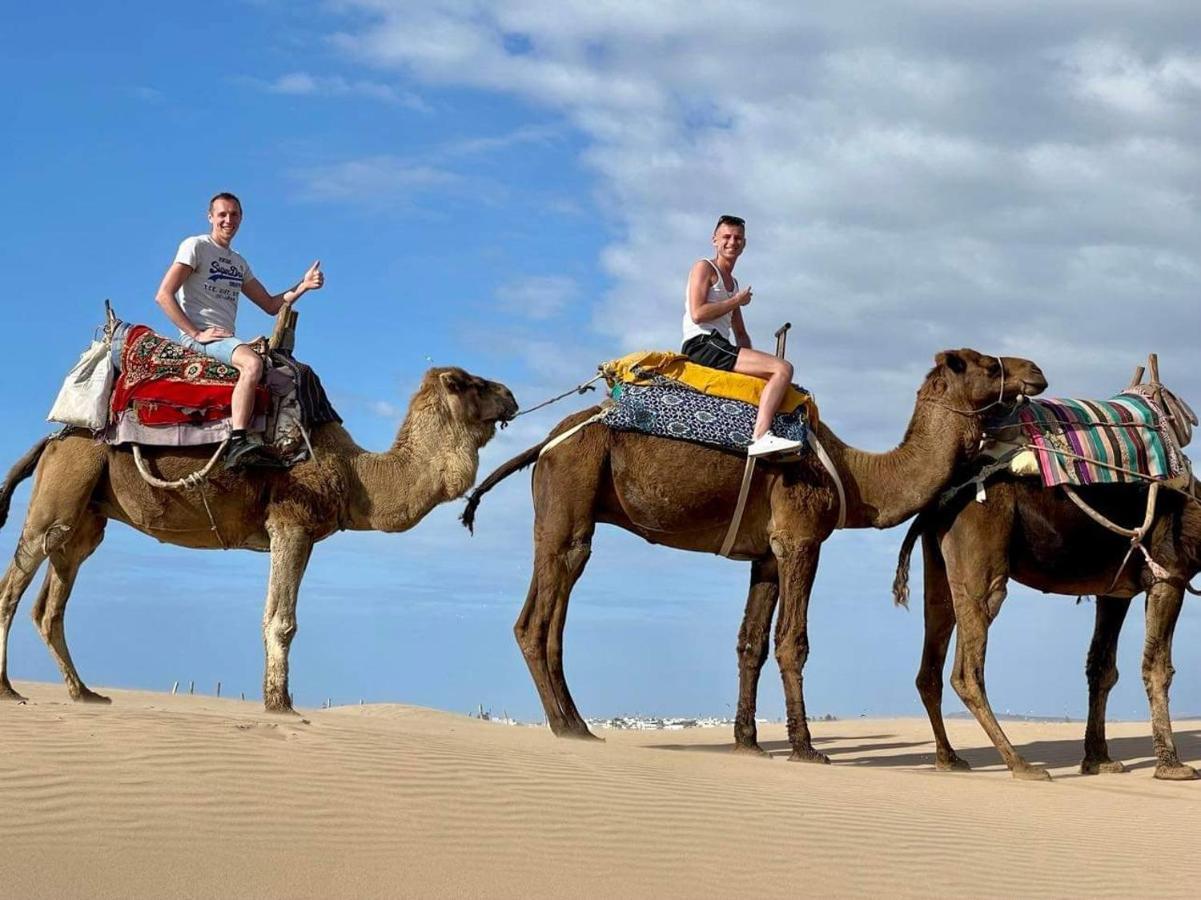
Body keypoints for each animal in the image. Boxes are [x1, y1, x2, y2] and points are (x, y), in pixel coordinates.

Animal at [0, 365, 516, 711]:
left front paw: (277, 701)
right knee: (14, 585)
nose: (510, 393)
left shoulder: (297, 532)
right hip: (62, 490)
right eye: (465, 382)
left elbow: (274, 614)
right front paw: (280, 705)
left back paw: (83, 692)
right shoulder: (291, 522)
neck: (355, 475)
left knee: (51, 601)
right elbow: (282, 621)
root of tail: (53, 441)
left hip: (87, 514)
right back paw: (9, 689)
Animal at [463, 348, 1047, 759]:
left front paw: (748, 741)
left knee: (544, 603)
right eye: (981, 360)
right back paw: (568, 727)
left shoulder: (765, 555)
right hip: (572, 492)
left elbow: (751, 644)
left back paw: (577, 726)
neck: (855, 476)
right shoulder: (801, 538)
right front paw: (805, 749)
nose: (1035, 370)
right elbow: (793, 643)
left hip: (562, 509)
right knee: (543, 611)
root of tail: (548, 441)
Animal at [893, 478, 1201, 778]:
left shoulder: (1114, 592)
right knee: (968, 666)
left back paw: (949, 759)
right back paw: (1020, 765)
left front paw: (1098, 761)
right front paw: (1172, 766)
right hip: (979, 550)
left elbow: (1102, 668)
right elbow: (1158, 668)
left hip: (938, 562)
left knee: (933, 646)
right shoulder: (1168, 575)